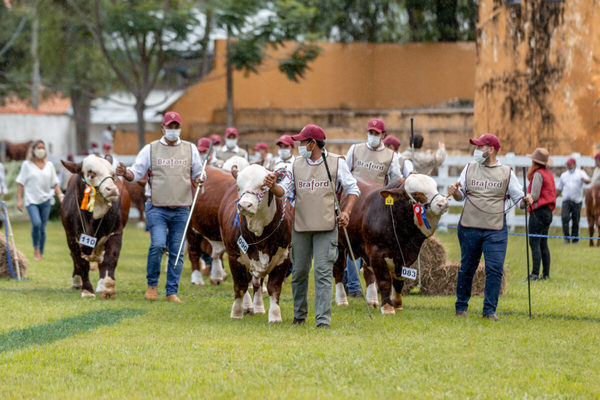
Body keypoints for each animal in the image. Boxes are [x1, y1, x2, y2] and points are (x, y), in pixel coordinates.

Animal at [61, 155, 130, 298]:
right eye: (91, 173)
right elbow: (81, 262)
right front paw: (87, 290)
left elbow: (110, 259)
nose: (112, 190)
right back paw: (77, 281)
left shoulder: (116, 233)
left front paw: (107, 286)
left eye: (113, 174)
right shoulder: (71, 237)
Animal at [219, 164, 292, 324]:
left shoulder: (284, 257)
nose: (244, 205)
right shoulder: (234, 256)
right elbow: (240, 285)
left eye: (263, 186)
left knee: (257, 283)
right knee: (248, 282)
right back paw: (247, 307)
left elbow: (274, 287)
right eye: (238, 187)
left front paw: (275, 316)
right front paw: (236, 312)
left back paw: (258, 307)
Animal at [336, 173, 448, 314]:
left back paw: (372, 301)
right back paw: (342, 300)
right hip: (339, 244)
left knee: (368, 272)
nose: (443, 203)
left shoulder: (406, 256)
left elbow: (399, 281)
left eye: (435, 187)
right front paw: (388, 307)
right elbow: (384, 280)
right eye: (416, 194)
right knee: (339, 268)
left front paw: (398, 304)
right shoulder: (377, 253)